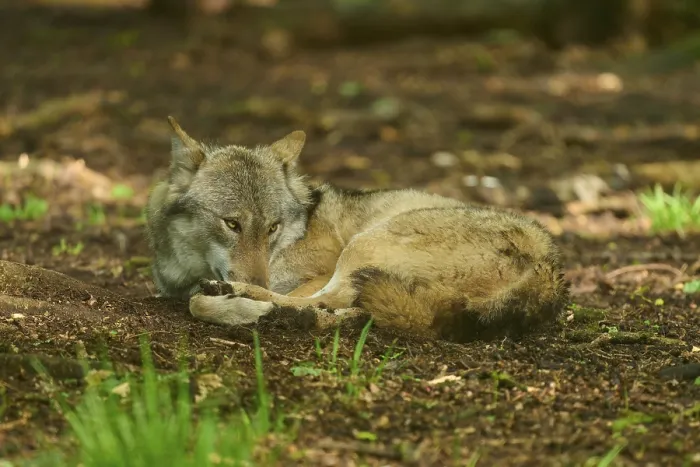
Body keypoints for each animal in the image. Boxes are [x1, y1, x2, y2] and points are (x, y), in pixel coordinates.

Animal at [145, 117, 569, 342]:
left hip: (362, 247)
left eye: (273, 227)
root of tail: (548, 268)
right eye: (232, 224)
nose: (257, 280)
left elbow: (198, 302)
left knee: (320, 302)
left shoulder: (318, 271)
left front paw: (238, 304)